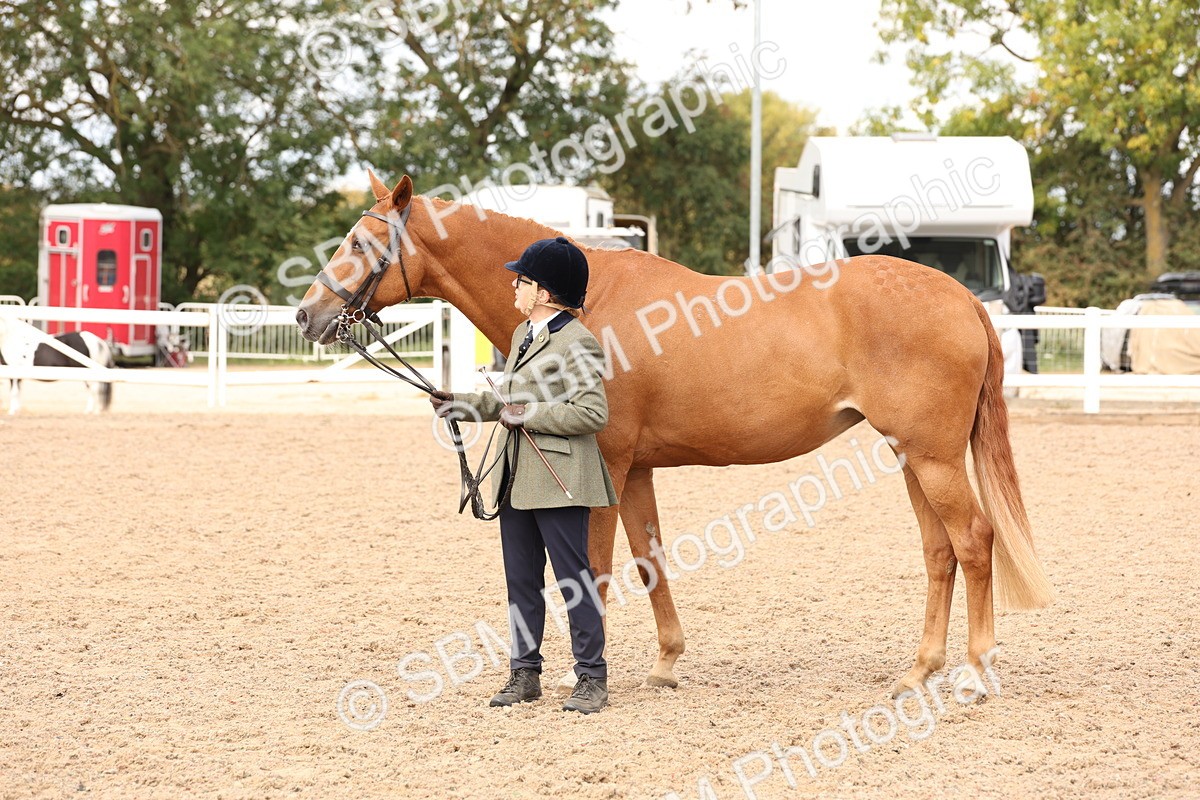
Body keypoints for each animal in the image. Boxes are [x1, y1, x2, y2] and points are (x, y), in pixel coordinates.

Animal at [295, 172, 1052, 698]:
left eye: (360, 242)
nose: (307, 315)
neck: (585, 302)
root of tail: (960, 298)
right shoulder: (634, 470)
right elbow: (648, 561)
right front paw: (665, 664)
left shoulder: (604, 460)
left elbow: (591, 570)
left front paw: (583, 677)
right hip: (913, 457)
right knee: (939, 552)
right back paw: (918, 672)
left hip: (933, 458)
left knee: (974, 541)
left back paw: (975, 674)